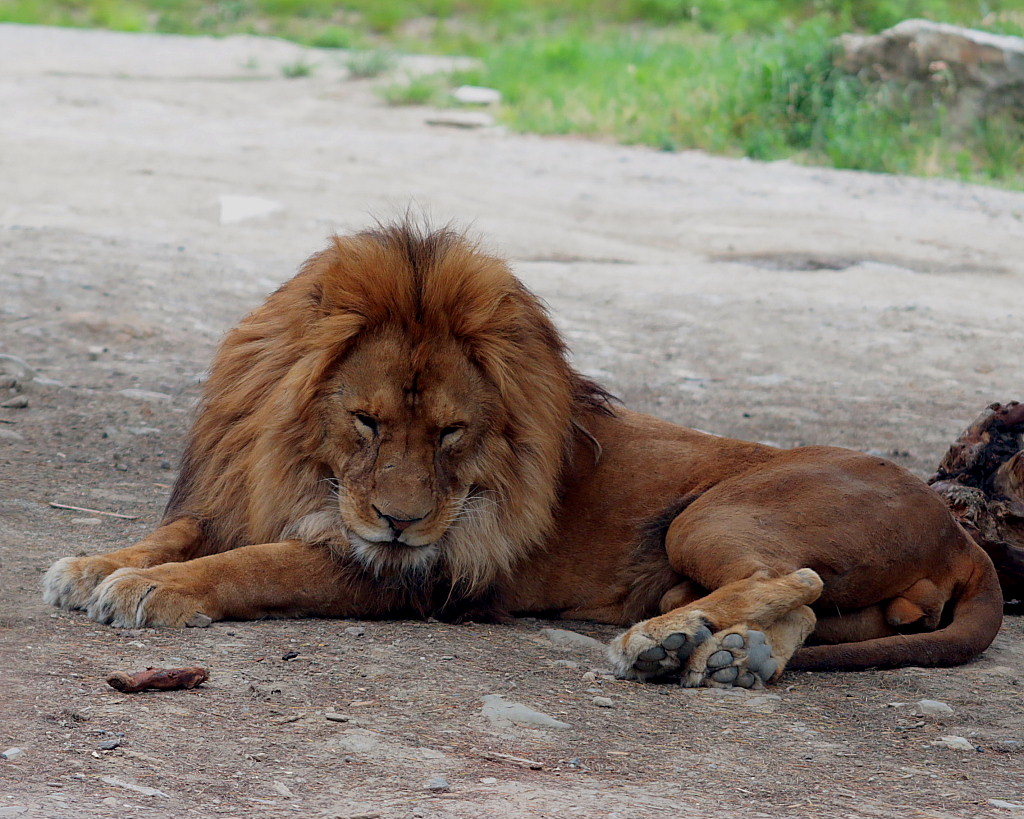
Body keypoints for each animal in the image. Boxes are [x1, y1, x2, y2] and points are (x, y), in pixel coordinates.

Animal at [44, 221, 1003, 687]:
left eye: (450, 432)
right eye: (367, 421)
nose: (399, 520)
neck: (299, 465)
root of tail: (963, 531)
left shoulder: (419, 575)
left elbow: (254, 563)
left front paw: (154, 588)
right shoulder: (245, 497)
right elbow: (180, 531)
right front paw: (93, 564)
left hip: (711, 514)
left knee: (789, 577)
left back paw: (660, 643)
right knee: (805, 608)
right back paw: (726, 655)